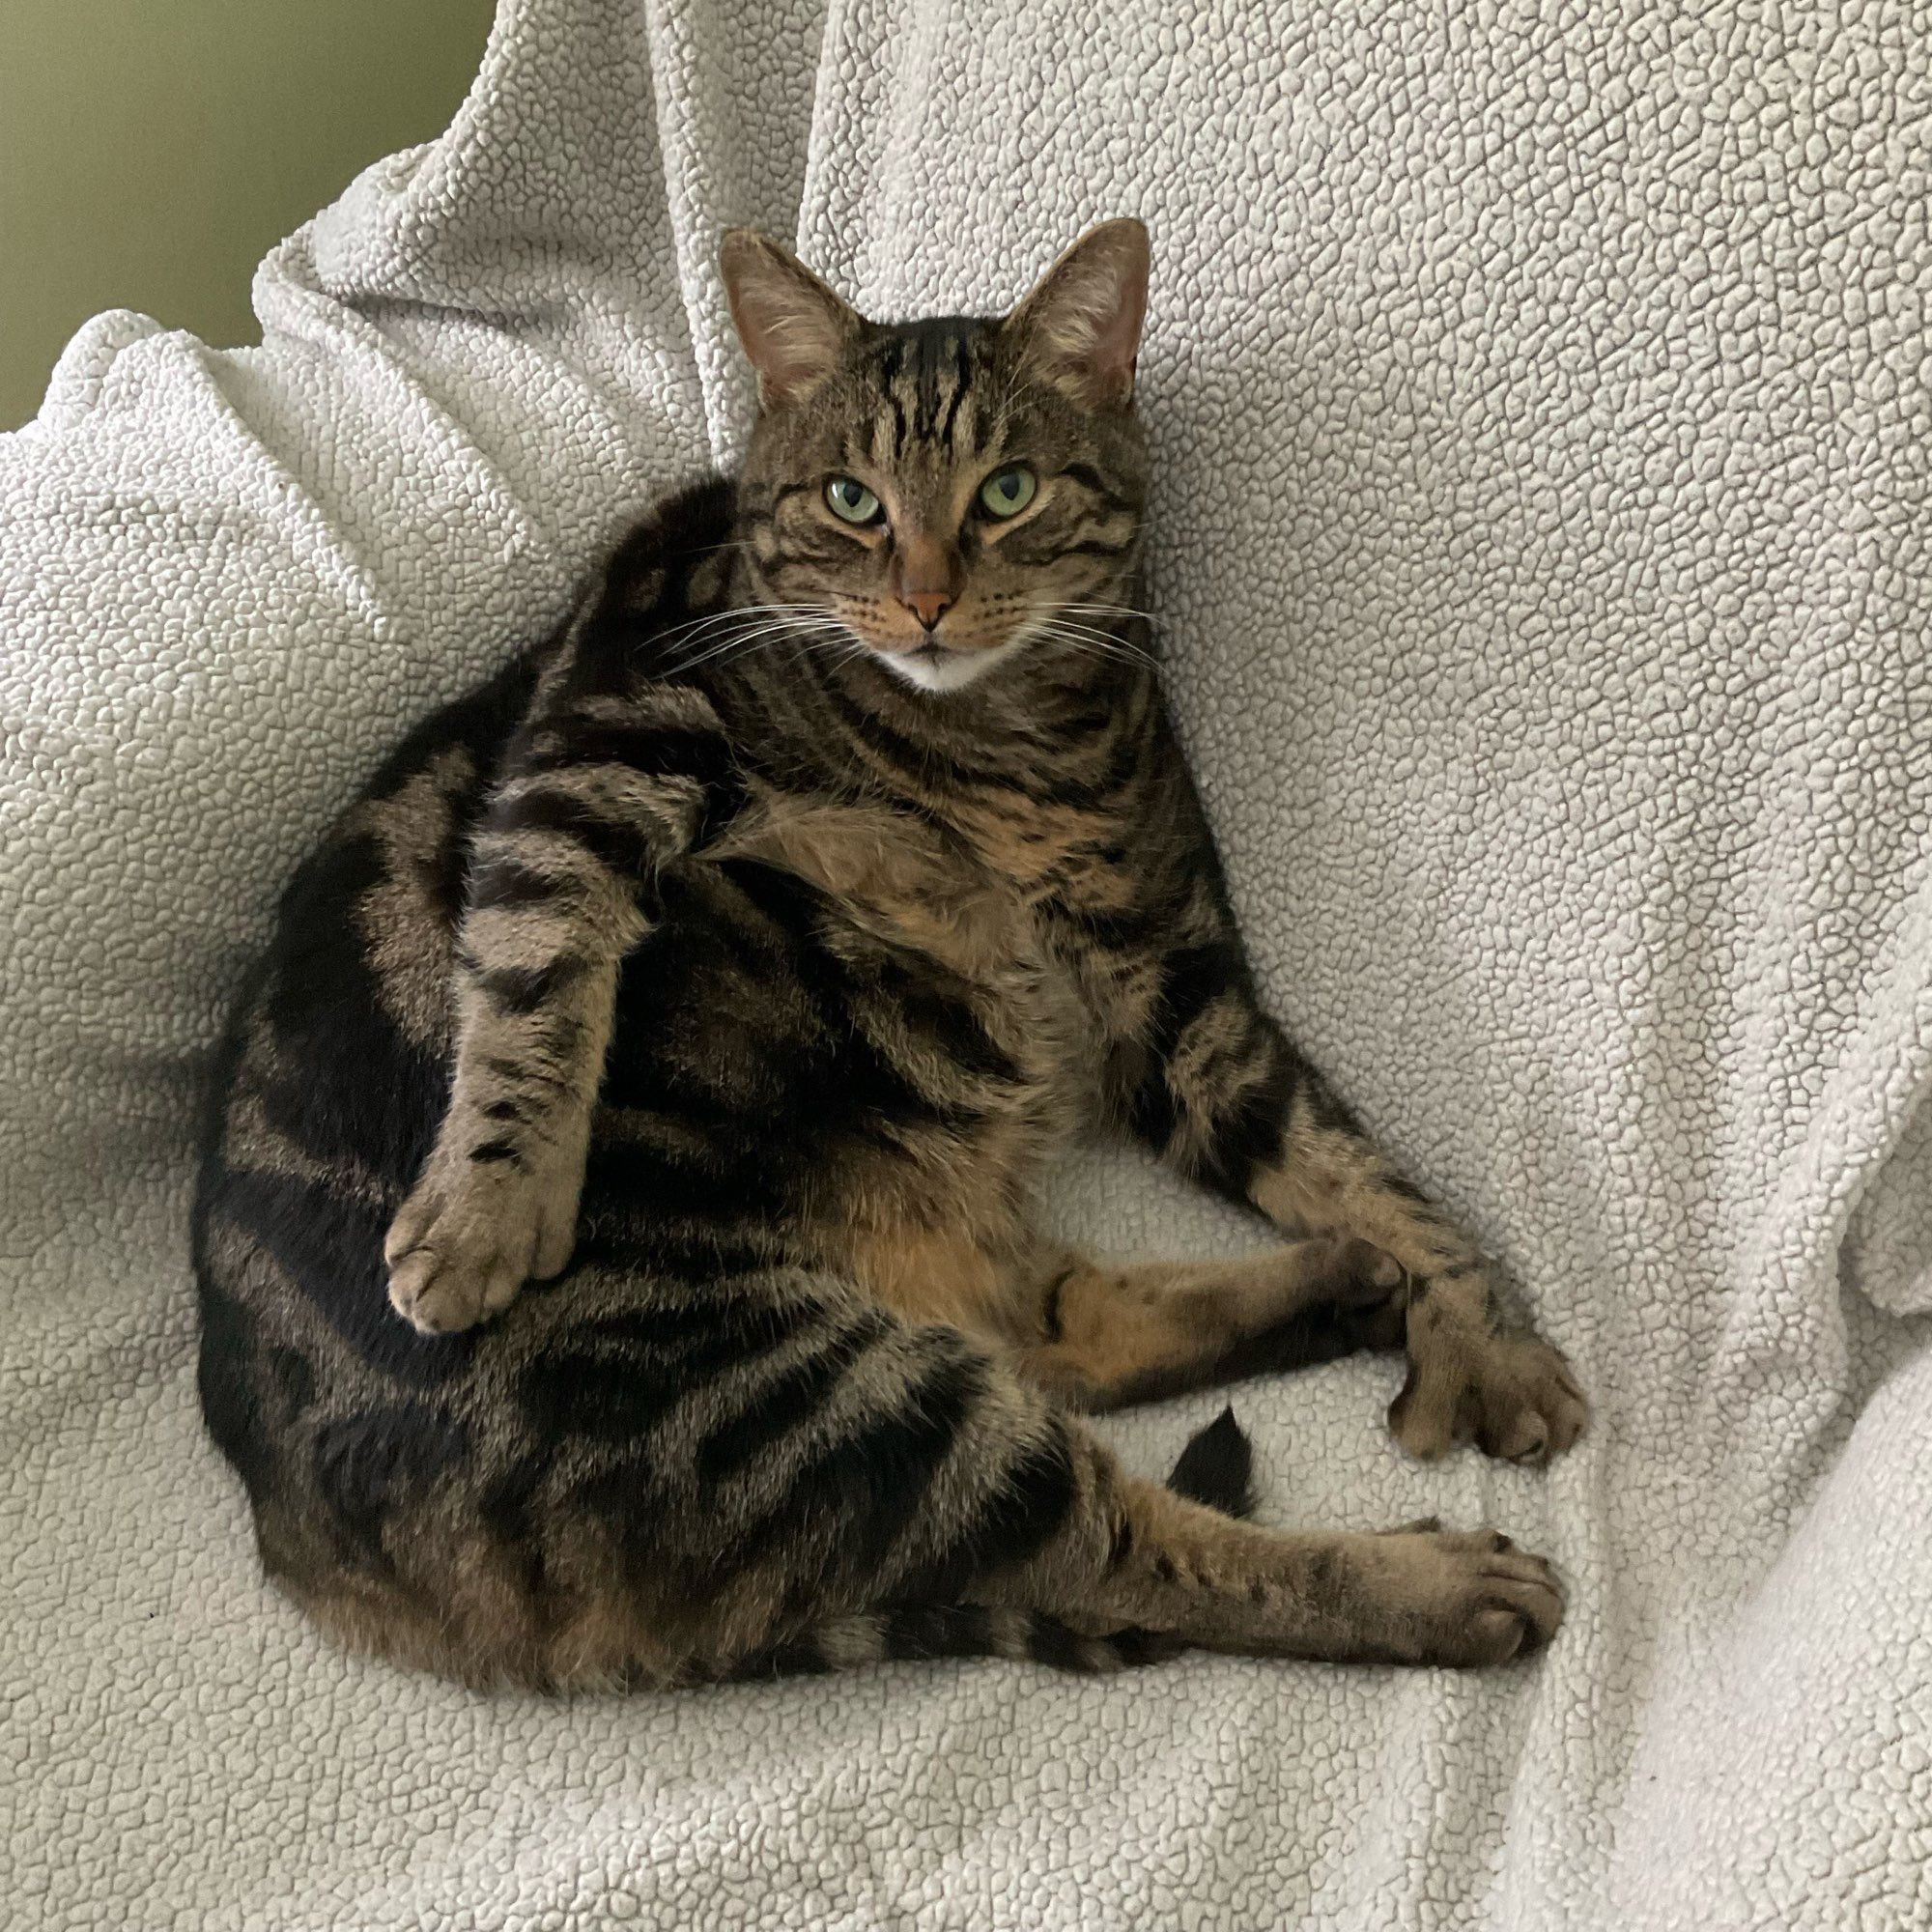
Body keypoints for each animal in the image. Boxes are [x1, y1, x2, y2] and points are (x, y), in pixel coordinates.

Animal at [192, 219, 1584, 1685]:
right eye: (853, 501)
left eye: (1008, 491)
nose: (923, 599)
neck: (1006, 740)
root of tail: (293, 1536)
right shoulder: (610, 712)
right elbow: (535, 943)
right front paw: (488, 1210)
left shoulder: (1170, 983)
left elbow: (1348, 1160)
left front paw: (1474, 1326)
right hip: (795, 1410)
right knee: (1124, 1559)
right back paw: (1432, 1581)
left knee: (1058, 1332)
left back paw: (1348, 1285)